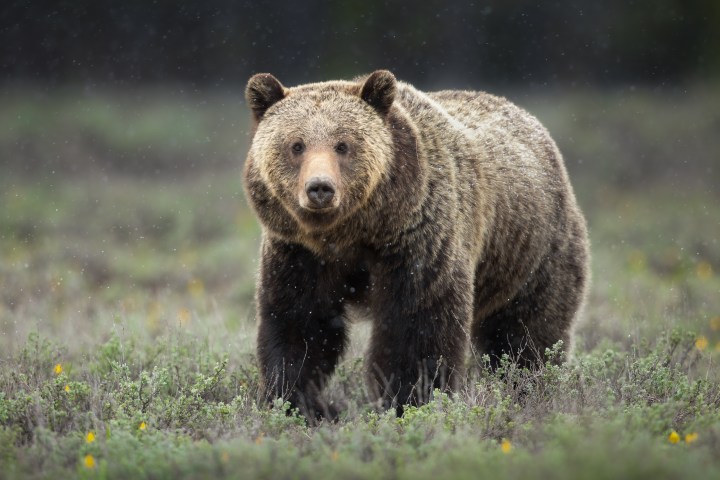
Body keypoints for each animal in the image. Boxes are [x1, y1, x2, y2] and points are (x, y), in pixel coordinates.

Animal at [243, 70, 589, 421]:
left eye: (343, 144)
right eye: (296, 144)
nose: (320, 188)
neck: (352, 234)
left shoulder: (418, 243)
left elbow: (417, 328)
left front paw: (409, 400)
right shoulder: (299, 255)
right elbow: (300, 325)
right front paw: (294, 402)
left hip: (532, 251)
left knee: (526, 332)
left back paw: (529, 386)